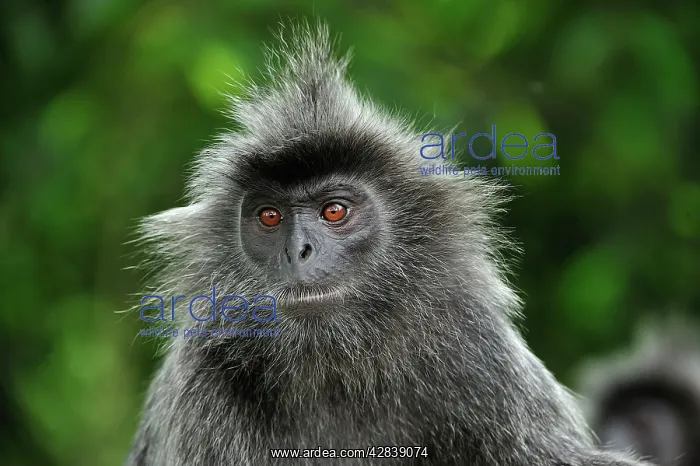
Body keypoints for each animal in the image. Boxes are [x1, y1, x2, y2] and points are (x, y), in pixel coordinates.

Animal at [126, 21, 650, 466]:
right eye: (270, 217)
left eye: (334, 211)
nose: (298, 251)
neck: (335, 365)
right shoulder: (201, 384)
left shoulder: (479, 348)